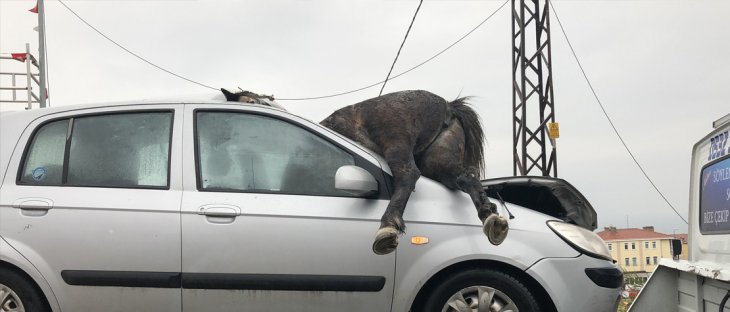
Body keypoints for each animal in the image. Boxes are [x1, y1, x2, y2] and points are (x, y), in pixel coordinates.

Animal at [220, 88, 506, 254]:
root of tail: (448, 105)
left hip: (396, 143)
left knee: (408, 175)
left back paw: (387, 227)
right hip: (438, 161)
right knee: (465, 177)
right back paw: (491, 218)